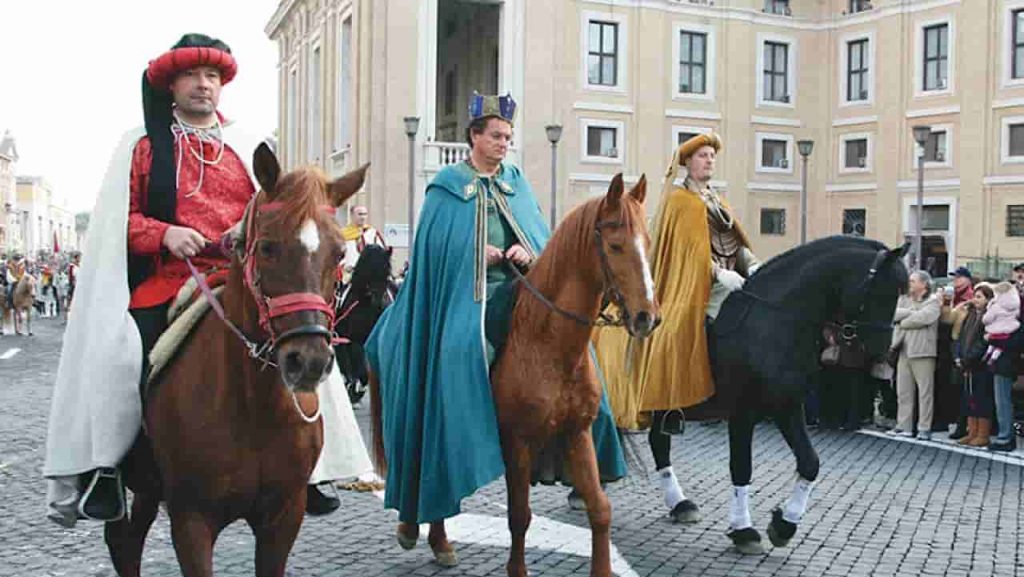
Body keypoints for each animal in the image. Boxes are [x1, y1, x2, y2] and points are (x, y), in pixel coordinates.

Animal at [337, 242, 397, 401]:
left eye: (387, 272)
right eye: (369, 270)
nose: (379, 301)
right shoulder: (355, 340)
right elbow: (363, 373)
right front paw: (356, 392)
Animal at [708, 235, 909, 553]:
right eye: (879, 291)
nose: (881, 352)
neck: (770, 320)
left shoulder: (788, 406)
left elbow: (810, 462)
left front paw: (785, 524)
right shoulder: (742, 411)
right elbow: (741, 466)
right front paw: (743, 530)